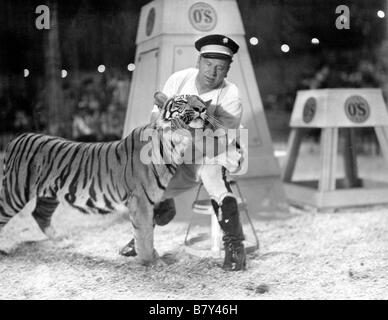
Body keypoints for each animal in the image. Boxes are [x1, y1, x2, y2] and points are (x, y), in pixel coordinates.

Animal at [0, 90, 211, 264]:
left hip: (49, 193)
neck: (175, 143)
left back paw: (63, 242)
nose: (202, 108)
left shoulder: (152, 200)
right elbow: (144, 233)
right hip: (15, 192)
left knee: (40, 215)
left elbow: (150, 227)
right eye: (182, 101)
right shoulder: (141, 200)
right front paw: (150, 261)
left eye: (200, 100)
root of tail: (16, 138)